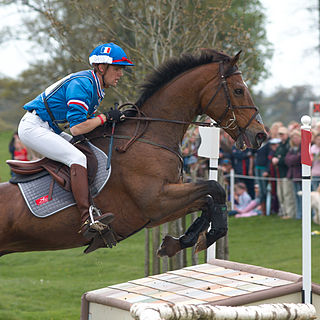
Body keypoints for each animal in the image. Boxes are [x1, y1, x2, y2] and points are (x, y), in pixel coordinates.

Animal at [0, 48, 266, 258]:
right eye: (239, 90)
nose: (260, 135)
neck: (150, 136)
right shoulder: (157, 201)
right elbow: (215, 189)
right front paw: (207, 237)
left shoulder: (160, 210)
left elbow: (209, 200)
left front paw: (177, 243)